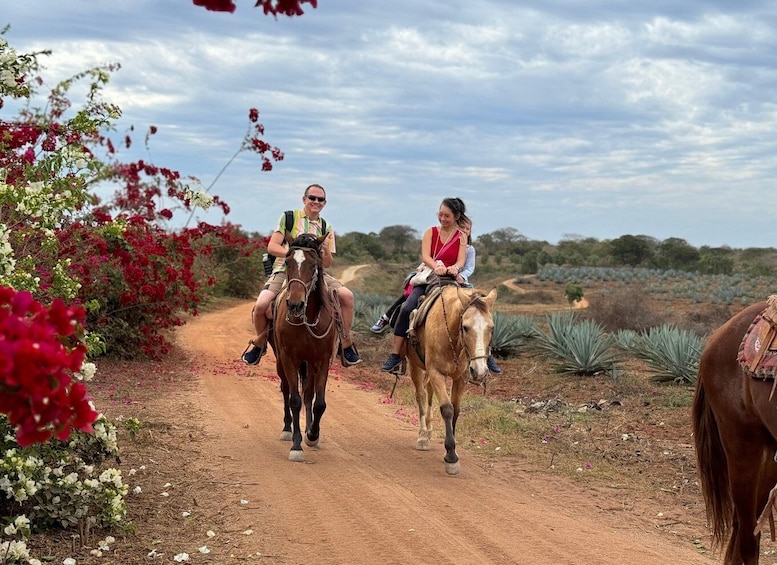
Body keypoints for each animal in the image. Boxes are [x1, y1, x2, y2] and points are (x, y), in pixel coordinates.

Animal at [270, 231, 336, 460]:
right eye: (288, 262)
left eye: (314, 265)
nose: (294, 305)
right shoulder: (290, 358)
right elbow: (294, 400)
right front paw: (297, 445)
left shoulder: (322, 360)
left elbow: (319, 402)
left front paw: (312, 435)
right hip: (281, 361)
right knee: (286, 390)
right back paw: (287, 429)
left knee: (308, 394)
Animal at [404, 284, 494, 474]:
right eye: (465, 327)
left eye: (491, 328)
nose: (480, 371)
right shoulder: (436, 373)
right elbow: (447, 409)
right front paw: (451, 457)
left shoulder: (461, 378)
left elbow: (456, 410)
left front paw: (452, 450)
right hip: (415, 365)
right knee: (421, 395)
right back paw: (422, 436)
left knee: (429, 393)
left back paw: (428, 432)